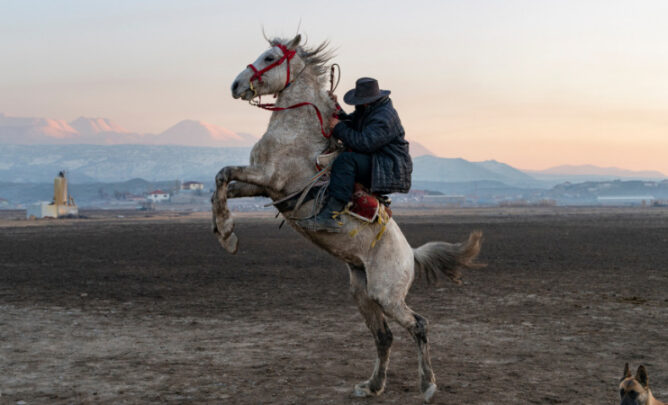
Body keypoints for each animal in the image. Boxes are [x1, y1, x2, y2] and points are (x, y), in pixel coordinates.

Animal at [213, 34, 480, 400]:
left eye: (269, 56)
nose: (236, 85)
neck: (297, 132)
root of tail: (410, 255)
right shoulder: (263, 188)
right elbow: (221, 183)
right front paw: (225, 232)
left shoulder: (270, 178)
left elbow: (223, 173)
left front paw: (227, 234)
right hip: (363, 293)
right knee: (384, 337)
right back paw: (372, 386)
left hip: (387, 295)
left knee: (419, 325)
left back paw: (427, 385)